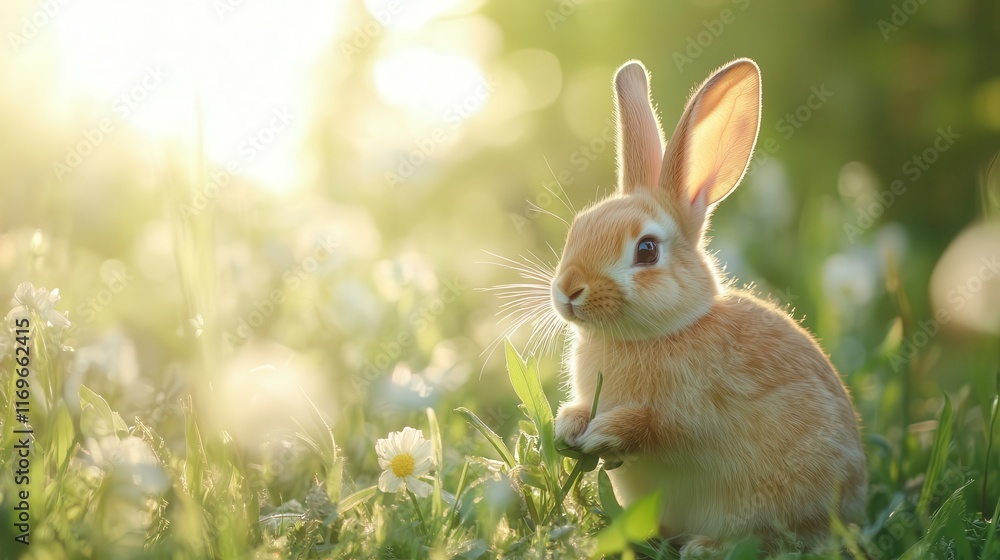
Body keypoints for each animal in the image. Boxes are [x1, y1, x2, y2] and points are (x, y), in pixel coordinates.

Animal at [550, 58, 866, 557]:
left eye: (646, 250)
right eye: (578, 227)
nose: (567, 290)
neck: (662, 332)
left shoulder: (689, 415)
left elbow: (656, 425)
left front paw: (604, 433)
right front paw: (569, 425)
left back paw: (705, 546)